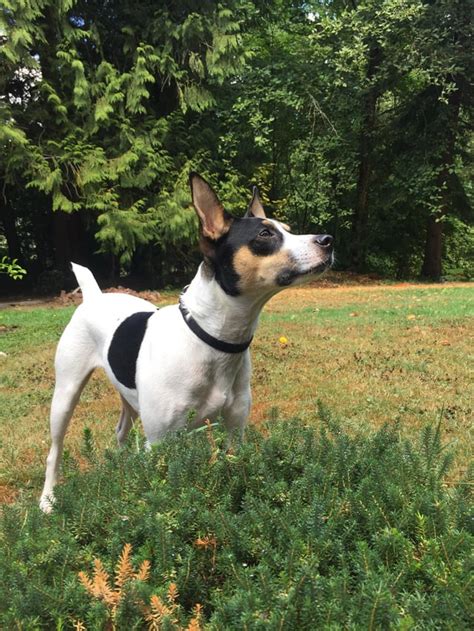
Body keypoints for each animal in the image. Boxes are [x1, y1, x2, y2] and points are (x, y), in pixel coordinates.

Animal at [39, 173, 334, 512]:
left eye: (287, 228)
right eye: (265, 234)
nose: (328, 240)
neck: (209, 338)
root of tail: (94, 296)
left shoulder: (234, 431)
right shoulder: (160, 442)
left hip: (128, 396)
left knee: (121, 430)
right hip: (66, 393)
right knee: (55, 450)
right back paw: (48, 499)